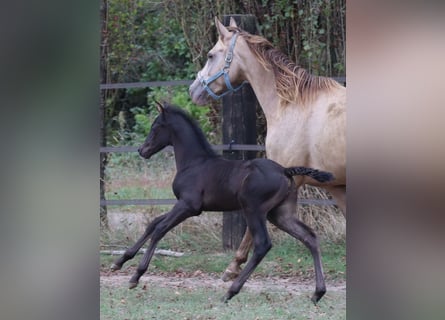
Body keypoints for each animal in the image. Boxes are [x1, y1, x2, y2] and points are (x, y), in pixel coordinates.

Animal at [111, 102, 332, 302]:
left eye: (155, 127)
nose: (142, 150)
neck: (194, 162)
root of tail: (285, 171)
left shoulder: (189, 206)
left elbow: (160, 229)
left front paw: (136, 276)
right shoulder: (183, 205)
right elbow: (153, 223)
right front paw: (119, 262)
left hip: (254, 210)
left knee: (263, 244)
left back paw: (231, 291)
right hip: (280, 214)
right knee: (309, 237)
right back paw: (317, 293)